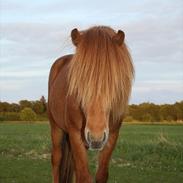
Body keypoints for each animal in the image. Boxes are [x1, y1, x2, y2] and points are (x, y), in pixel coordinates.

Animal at [47, 25, 134, 183]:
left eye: (114, 81)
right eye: (78, 81)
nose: (96, 137)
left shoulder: (112, 136)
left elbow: (100, 175)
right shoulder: (75, 134)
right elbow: (84, 176)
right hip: (56, 127)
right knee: (56, 160)